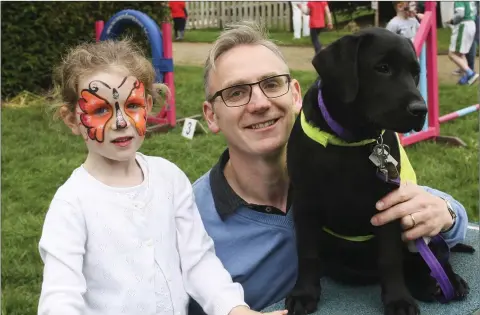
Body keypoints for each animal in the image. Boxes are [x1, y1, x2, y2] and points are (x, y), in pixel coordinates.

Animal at [284, 27, 468, 315]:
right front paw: (304, 294)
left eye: (415, 73)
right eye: (382, 68)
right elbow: (307, 253)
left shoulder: (389, 204)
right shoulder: (305, 203)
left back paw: (444, 282)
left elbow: (390, 258)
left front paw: (398, 299)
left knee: (433, 255)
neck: (350, 139)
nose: (421, 110)